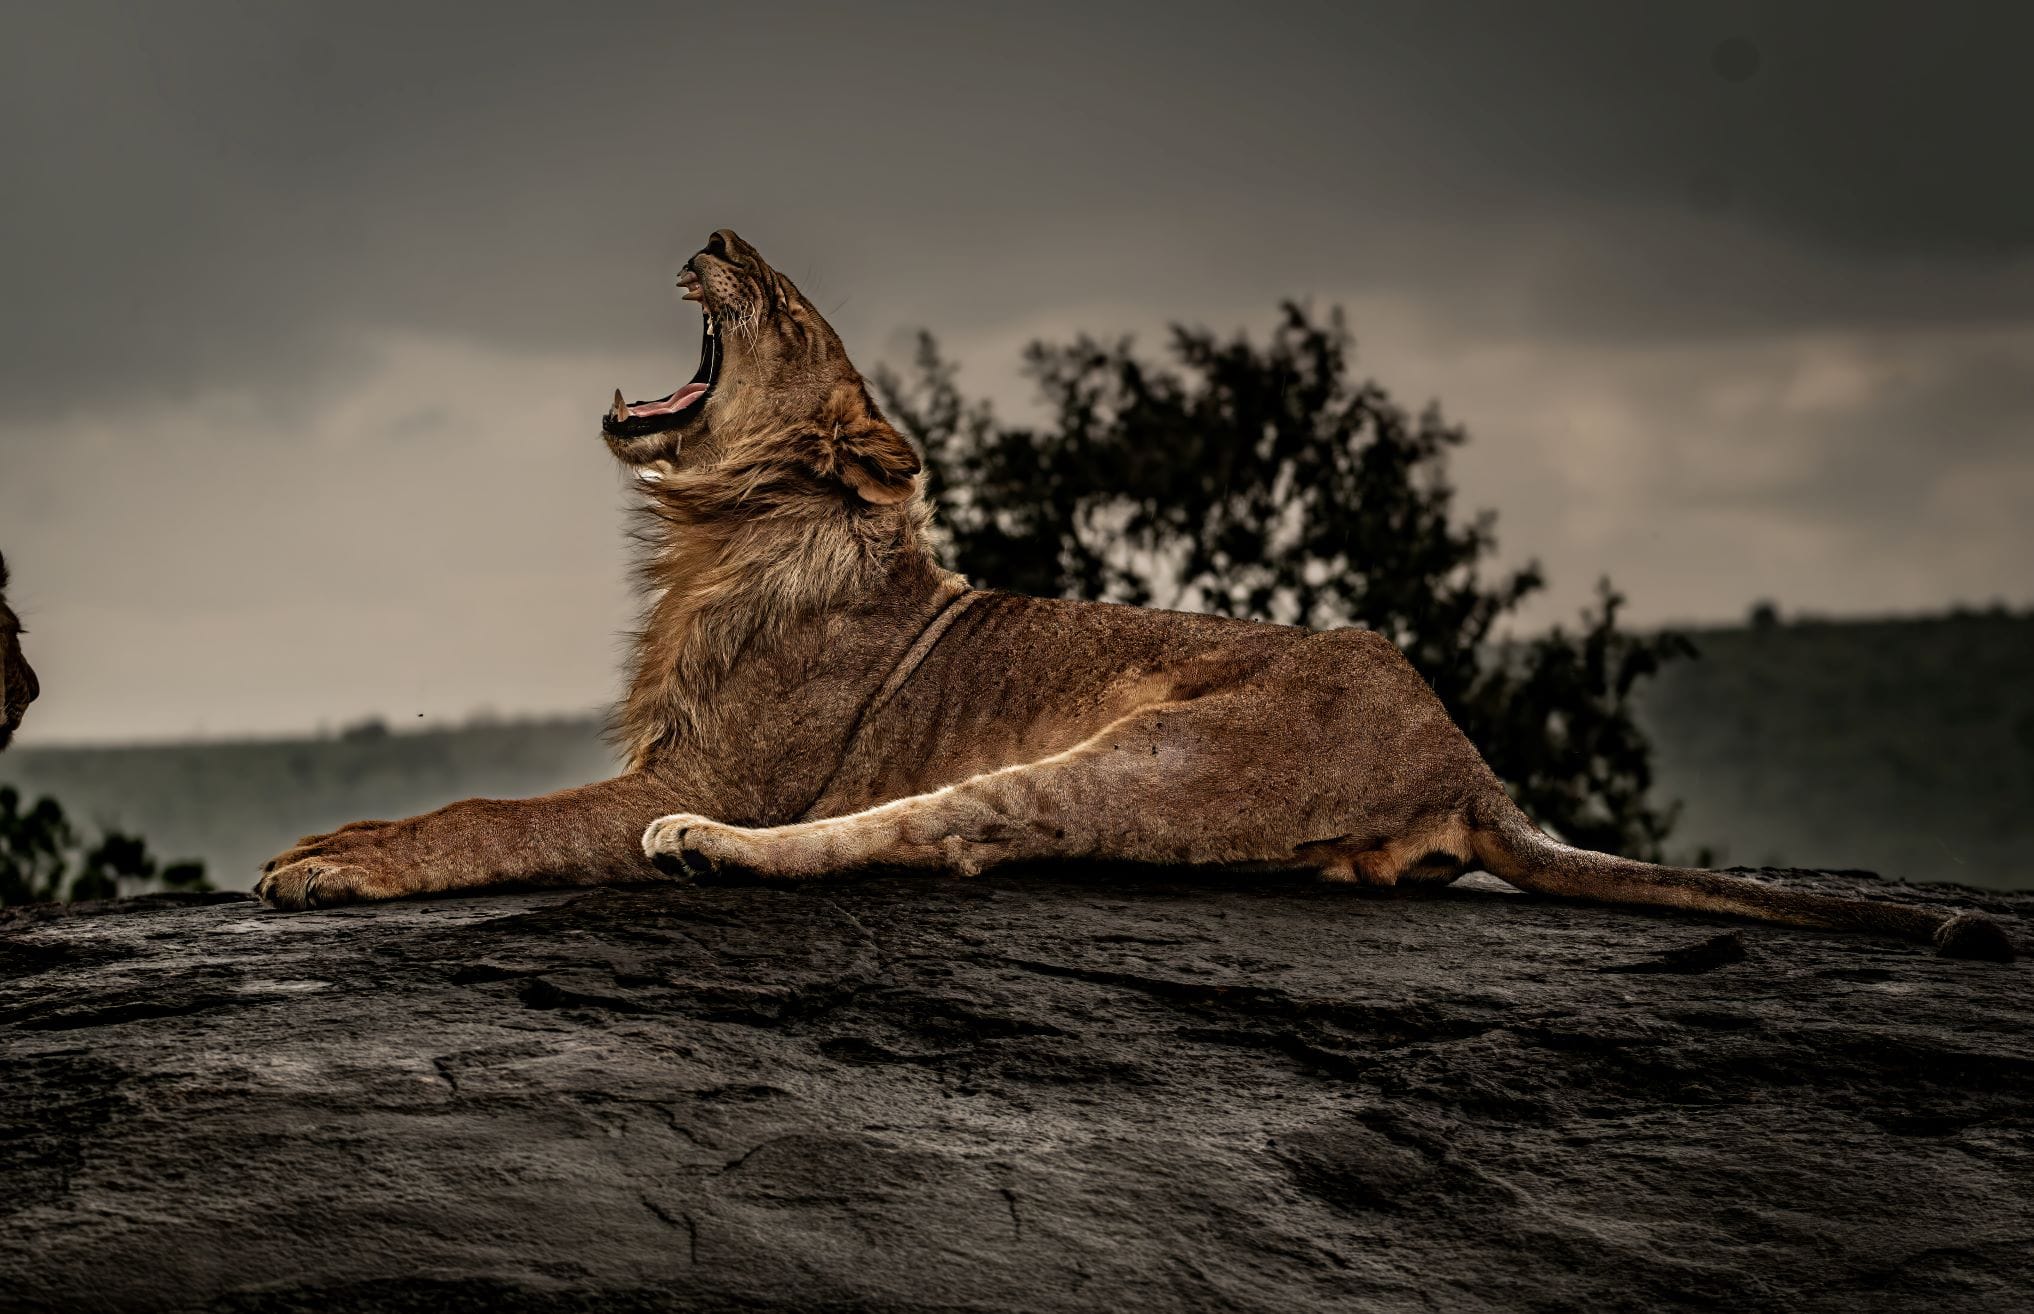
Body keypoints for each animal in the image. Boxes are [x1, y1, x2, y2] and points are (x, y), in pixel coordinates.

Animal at [256, 229, 2013, 962]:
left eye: (778, 303)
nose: (713, 232)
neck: (716, 535)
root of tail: (1467, 761)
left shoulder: (711, 763)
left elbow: (495, 810)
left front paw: (331, 863)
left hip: (1139, 756)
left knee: (935, 832)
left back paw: (701, 858)